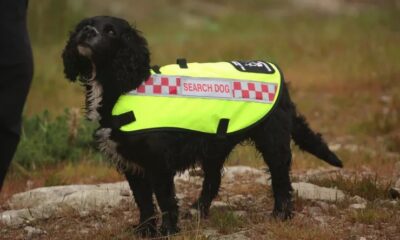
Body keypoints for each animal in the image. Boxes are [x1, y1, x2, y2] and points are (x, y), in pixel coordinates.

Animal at [61, 16, 340, 236]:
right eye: (84, 25)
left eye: (110, 31)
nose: (88, 32)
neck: (123, 86)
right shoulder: (132, 164)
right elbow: (144, 203)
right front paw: (145, 230)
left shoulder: (158, 164)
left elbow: (165, 200)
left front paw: (167, 231)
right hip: (216, 146)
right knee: (214, 180)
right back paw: (198, 211)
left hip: (272, 141)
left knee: (281, 180)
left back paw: (281, 215)